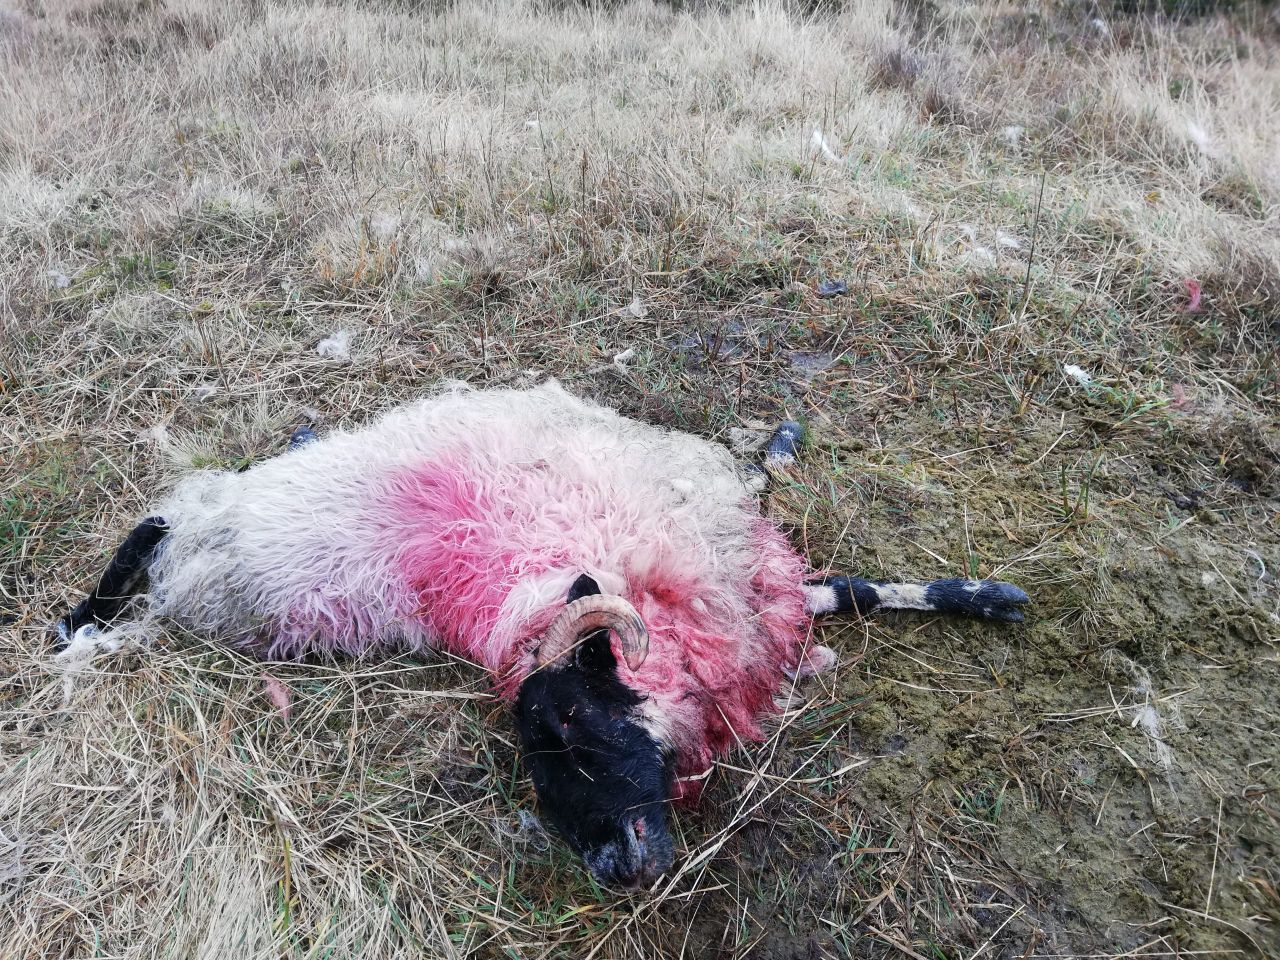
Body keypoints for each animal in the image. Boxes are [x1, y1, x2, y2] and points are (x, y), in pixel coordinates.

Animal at [55, 380, 1028, 890]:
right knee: (149, 526)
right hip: (223, 540)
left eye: (572, 719)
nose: (610, 866)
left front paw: (989, 597)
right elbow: (829, 570)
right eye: (536, 747)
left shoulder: (742, 570)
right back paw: (87, 616)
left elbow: (845, 580)